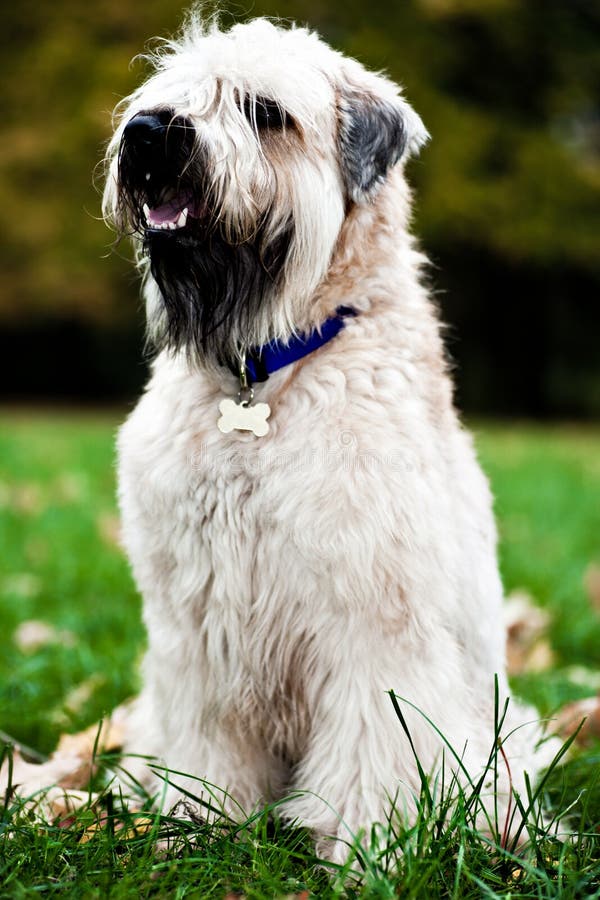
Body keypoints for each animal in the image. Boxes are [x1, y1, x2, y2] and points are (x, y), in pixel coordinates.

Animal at [102, 15, 548, 864]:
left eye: (264, 111)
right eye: (169, 92)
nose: (146, 135)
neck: (265, 368)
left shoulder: (373, 613)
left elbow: (379, 741)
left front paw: (368, 844)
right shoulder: (193, 620)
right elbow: (205, 737)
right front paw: (197, 822)